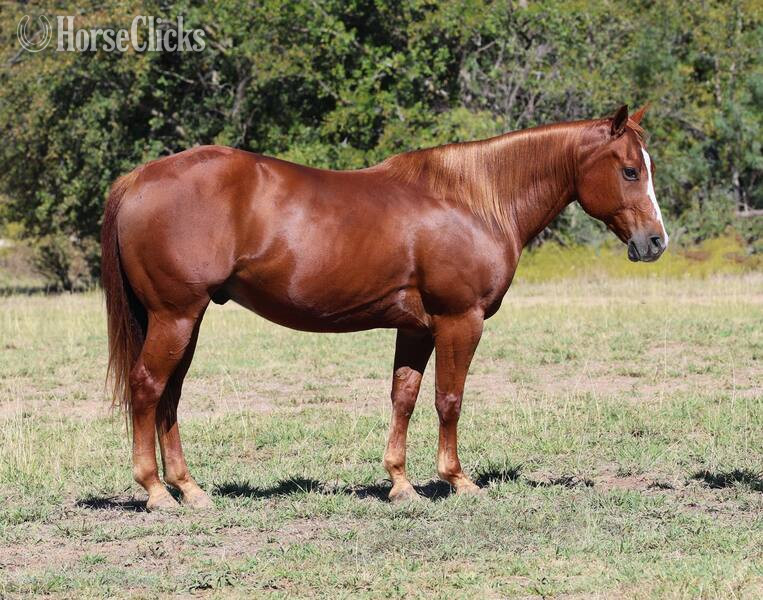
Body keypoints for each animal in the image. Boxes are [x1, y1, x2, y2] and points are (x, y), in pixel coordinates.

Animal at [101, 104, 668, 510]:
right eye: (630, 170)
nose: (656, 242)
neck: (472, 200)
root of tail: (138, 178)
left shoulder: (416, 328)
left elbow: (404, 397)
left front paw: (400, 484)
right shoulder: (459, 321)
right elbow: (448, 399)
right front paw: (457, 480)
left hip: (185, 320)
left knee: (170, 396)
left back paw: (190, 489)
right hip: (176, 316)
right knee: (148, 388)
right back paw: (156, 492)